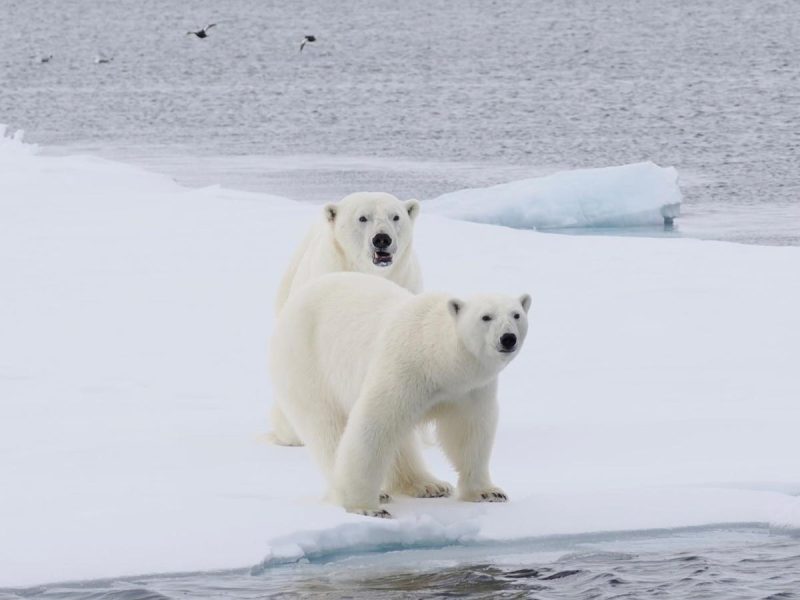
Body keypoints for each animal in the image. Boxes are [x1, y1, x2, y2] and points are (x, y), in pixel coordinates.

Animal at [269, 272, 531, 518]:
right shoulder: (404, 369)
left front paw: (488, 492)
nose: (508, 338)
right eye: (486, 317)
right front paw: (365, 507)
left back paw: (428, 485)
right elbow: (374, 424)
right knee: (327, 429)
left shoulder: (469, 390)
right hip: (308, 365)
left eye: (516, 314)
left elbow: (468, 432)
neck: (438, 358)